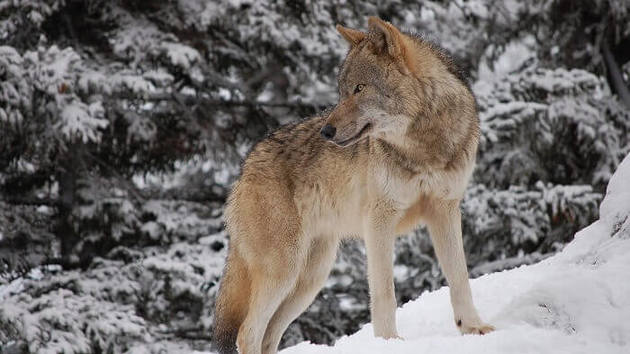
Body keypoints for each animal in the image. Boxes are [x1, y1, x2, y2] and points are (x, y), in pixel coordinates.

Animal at [215, 16, 496, 354]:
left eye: (359, 88)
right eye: (342, 92)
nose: (326, 132)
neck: (422, 148)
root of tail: (245, 166)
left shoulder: (446, 210)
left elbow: (460, 277)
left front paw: (474, 328)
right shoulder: (379, 220)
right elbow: (385, 291)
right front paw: (388, 341)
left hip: (310, 279)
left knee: (268, 335)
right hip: (285, 269)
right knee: (248, 333)